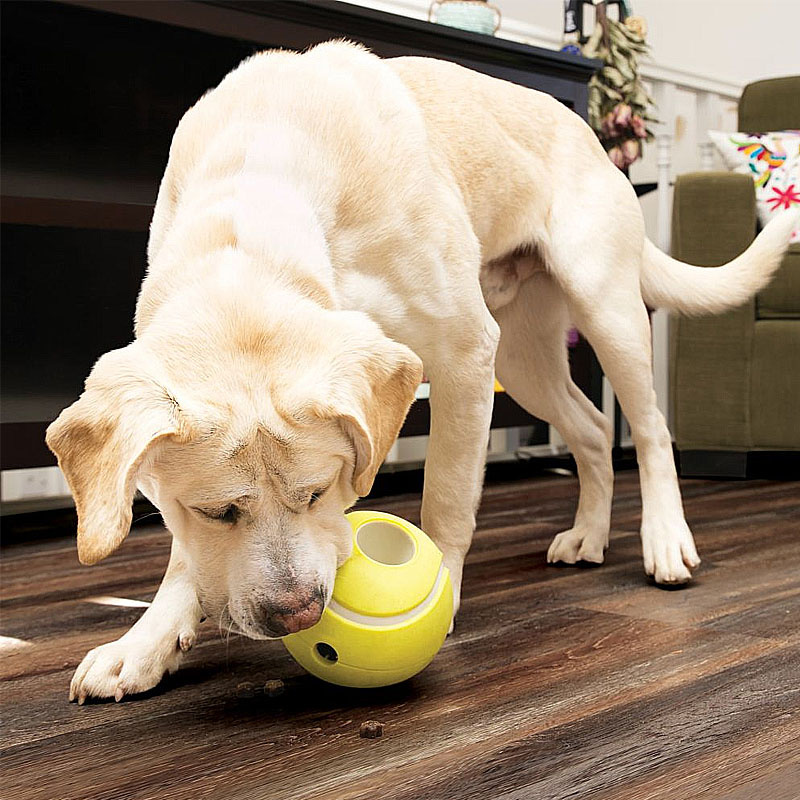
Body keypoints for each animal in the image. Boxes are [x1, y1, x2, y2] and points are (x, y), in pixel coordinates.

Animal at [48, 40, 792, 700]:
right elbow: (185, 554)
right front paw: (146, 641)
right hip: (523, 356)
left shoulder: (464, 355)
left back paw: (665, 540)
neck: (254, 197)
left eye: (321, 491)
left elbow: (448, 496)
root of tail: (590, 136)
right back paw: (589, 533)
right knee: (588, 429)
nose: (297, 614)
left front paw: (444, 592)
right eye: (215, 510)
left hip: (604, 312)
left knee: (650, 430)